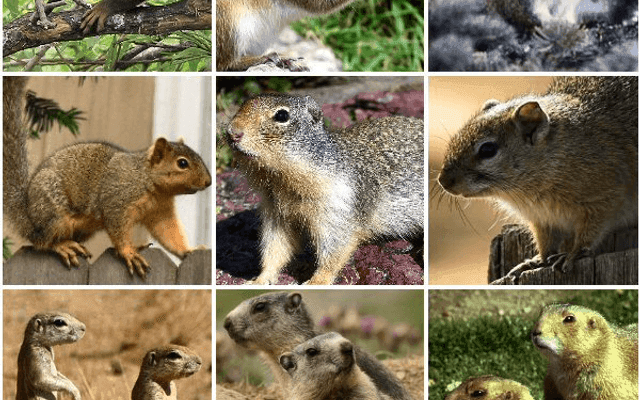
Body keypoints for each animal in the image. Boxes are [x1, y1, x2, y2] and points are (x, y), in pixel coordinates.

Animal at [3, 77, 212, 278]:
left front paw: (189, 250)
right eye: (182, 163)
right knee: (41, 242)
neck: (148, 182)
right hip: (54, 214)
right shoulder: (117, 201)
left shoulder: (160, 212)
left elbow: (168, 234)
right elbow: (117, 229)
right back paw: (62, 246)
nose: (208, 182)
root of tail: (28, 216)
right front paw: (128, 252)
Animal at [225, 93, 424, 284]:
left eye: (282, 115)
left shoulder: (337, 204)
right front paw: (258, 280)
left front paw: (316, 281)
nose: (232, 132)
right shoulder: (275, 212)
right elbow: (276, 246)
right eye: (243, 104)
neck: (279, 181)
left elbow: (335, 247)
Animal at [437, 76, 638, 274]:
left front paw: (572, 254)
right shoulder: (542, 219)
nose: (443, 181)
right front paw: (538, 261)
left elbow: (589, 233)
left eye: (488, 149)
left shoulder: (604, 199)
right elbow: (545, 243)